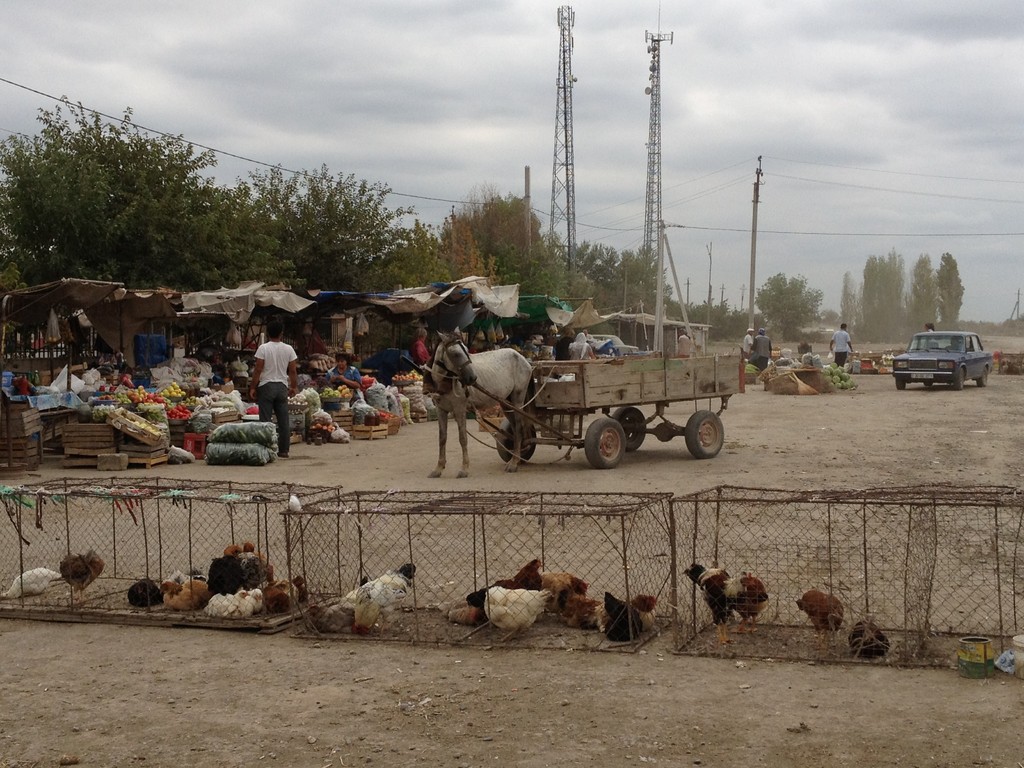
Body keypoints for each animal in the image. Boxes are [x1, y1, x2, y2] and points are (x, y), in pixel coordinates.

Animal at [425, 331, 532, 479]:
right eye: (456, 354)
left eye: (466, 350)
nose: (472, 378)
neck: (445, 383)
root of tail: (522, 358)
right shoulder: (441, 410)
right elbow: (442, 438)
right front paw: (438, 468)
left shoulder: (460, 409)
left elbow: (463, 438)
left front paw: (464, 468)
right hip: (506, 403)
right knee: (516, 429)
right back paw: (517, 458)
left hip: (518, 399)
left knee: (519, 428)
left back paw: (514, 463)